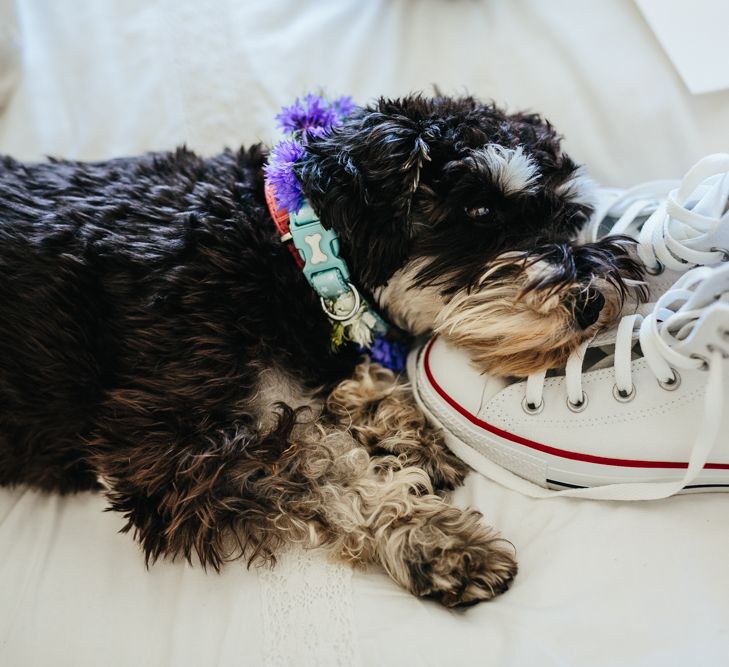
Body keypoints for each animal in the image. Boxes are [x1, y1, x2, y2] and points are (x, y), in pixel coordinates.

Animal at [0, 96, 644, 608]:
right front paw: (438, 540)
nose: (593, 297)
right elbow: (322, 466)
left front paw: (399, 424)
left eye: (569, 217)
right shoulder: (166, 444)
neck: (292, 249)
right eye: (481, 210)